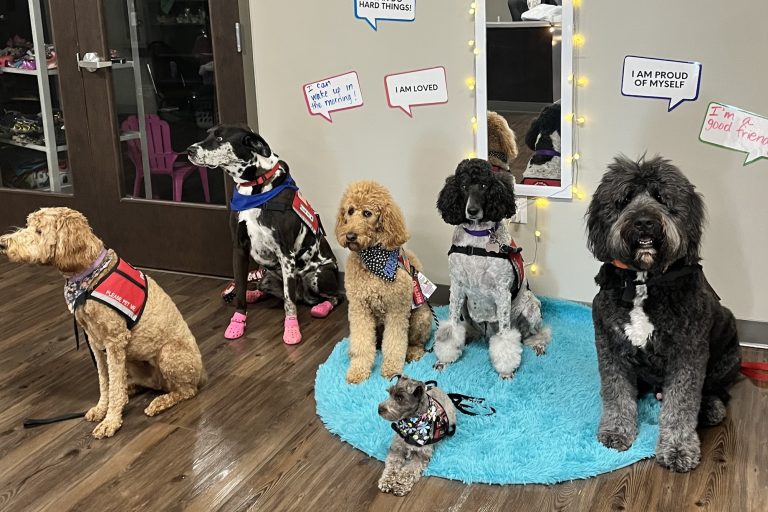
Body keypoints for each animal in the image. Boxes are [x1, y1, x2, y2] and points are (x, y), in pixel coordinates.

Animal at [0, 206, 207, 438]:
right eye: (28, 225)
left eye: (39, 231)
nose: (3, 243)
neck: (88, 277)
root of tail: (202, 375)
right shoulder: (96, 342)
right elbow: (105, 381)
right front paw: (102, 408)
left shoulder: (114, 341)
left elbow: (113, 384)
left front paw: (111, 421)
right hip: (133, 362)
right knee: (140, 383)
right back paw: (129, 391)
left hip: (170, 355)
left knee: (185, 391)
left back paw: (158, 402)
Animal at [188, 126, 340, 346]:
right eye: (208, 133)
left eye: (220, 138)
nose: (189, 150)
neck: (254, 189)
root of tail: (304, 295)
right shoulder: (239, 249)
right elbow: (240, 288)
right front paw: (237, 322)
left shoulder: (286, 254)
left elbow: (288, 301)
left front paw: (292, 329)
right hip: (267, 277)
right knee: (261, 287)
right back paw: (252, 294)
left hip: (319, 276)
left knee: (332, 297)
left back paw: (321, 307)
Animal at [334, 182, 432, 382]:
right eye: (350, 211)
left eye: (367, 213)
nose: (350, 236)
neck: (373, 259)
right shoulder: (359, 308)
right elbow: (362, 342)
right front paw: (358, 370)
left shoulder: (397, 309)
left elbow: (395, 343)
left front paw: (391, 369)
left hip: (421, 316)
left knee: (415, 342)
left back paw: (413, 352)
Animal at [432, 158, 552, 378]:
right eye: (463, 186)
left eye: (483, 185)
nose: (472, 211)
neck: (477, 238)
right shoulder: (457, 287)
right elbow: (451, 327)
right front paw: (444, 359)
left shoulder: (502, 292)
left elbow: (505, 337)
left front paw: (506, 370)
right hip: (466, 311)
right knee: (468, 328)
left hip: (531, 307)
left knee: (536, 333)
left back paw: (538, 344)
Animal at [584, 155, 740, 472]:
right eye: (625, 199)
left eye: (663, 198)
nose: (645, 222)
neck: (644, 280)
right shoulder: (609, 344)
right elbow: (616, 392)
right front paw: (616, 430)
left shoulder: (688, 353)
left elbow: (681, 404)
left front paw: (679, 449)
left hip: (729, 352)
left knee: (717, 390)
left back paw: (710, 407)